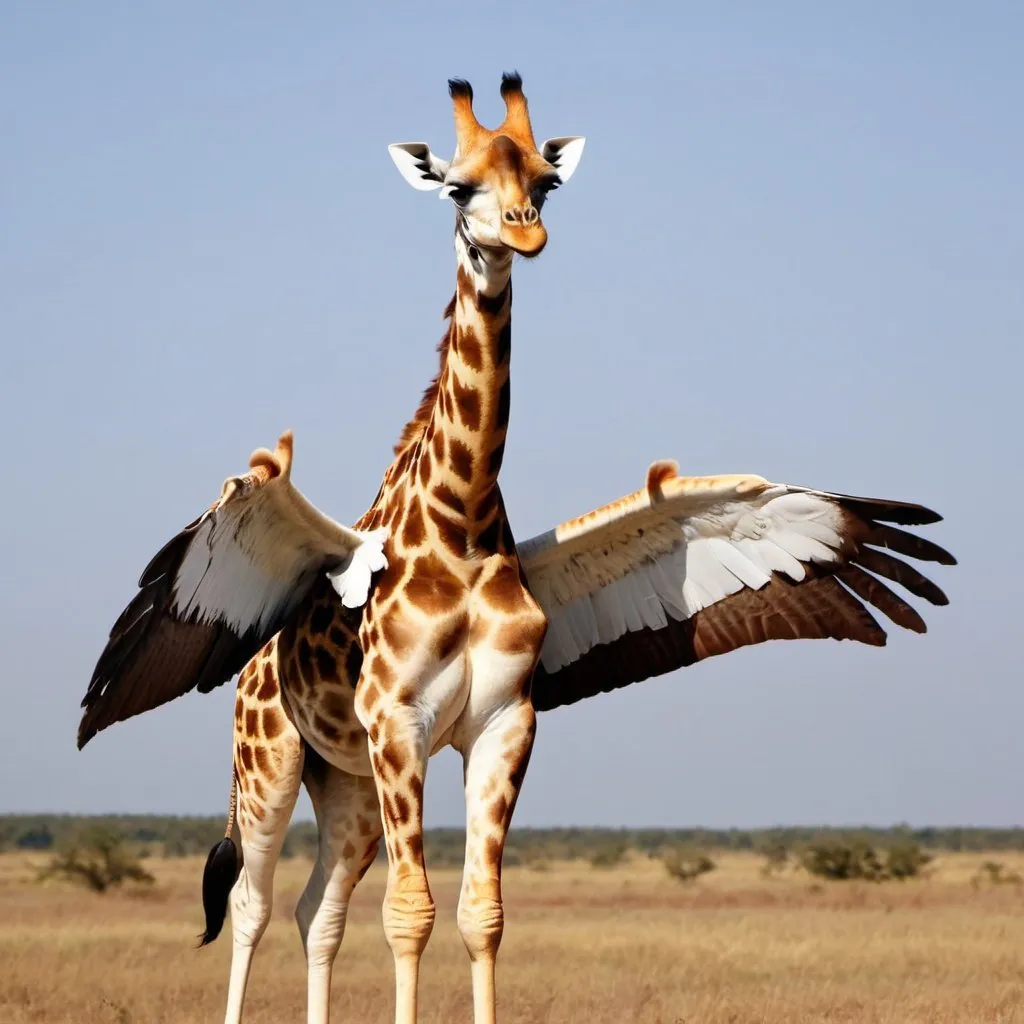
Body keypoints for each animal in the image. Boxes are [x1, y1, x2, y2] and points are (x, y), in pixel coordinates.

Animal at [201, 74, 585, 1024]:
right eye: (457, 187)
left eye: (545, 181)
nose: (524, 230)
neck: (464, 517)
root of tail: (252, 663)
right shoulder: (399, 720)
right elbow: (410, 913)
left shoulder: (504, 721)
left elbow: (481, 914)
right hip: (270, 766)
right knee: (251, 903)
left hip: (346, 786)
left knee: (316, 909)